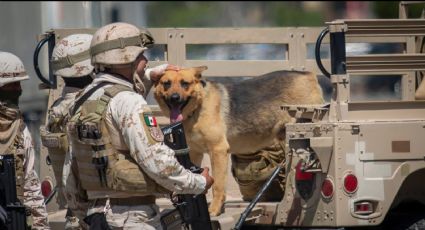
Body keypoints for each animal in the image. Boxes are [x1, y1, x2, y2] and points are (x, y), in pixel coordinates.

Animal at [154, 66, 322, 216]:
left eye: (185, 83)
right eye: (166, 83)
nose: (174, 98)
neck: (197, 109)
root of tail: (308, 74)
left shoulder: (218, 150)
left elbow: (217, 185)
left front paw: (214, 210)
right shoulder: (194, 153)